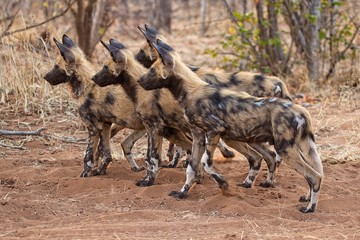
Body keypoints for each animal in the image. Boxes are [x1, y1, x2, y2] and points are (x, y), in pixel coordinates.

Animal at [44, 34, 148, 176]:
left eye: (55, 67)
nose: (45, 77)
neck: (85, 84)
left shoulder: (93, 128)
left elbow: (88, 155)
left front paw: (86, 173)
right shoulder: (105, 125)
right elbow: (106, 153)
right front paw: (101, 171)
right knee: (126, 144)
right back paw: (136, 168)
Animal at [93, 38, 278, 188]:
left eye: (104, 67)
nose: (93, 78)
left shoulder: (154, 128)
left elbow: (152, 158)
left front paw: (149, 181)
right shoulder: (160, 129)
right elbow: (158, 158)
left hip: (235, 137)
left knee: (263, 156)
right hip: (242, 137)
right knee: (266, 156)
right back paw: (265, 182)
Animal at [137, 39, 324, 214]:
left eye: (152, 70)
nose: (139, 80)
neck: (190, 90)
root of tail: (301, 110)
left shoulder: (214, 131)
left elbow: (205, 163)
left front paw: (224, 184)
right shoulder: (198, 136)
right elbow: (191, 168)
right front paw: (182, 193)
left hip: (285, 149)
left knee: (313, 176)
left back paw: (310, 208)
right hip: (292, 146)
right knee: (316, 173)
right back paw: (304, 197)